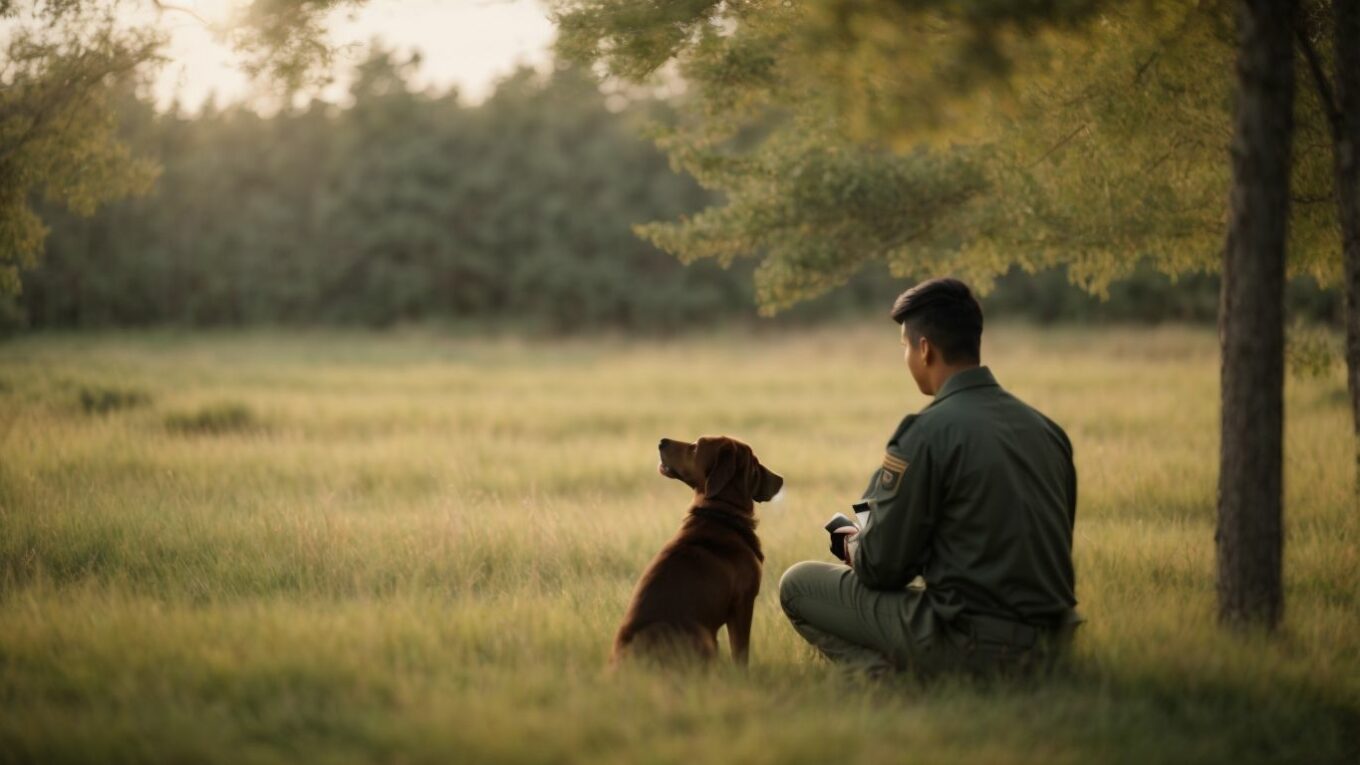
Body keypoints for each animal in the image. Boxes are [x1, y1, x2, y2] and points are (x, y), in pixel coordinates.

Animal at [609, 435, 783, 666]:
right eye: (755, 463)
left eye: (694, 446)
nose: (661, 441)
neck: (721, 511)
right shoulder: (743, 603)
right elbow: (741, 654)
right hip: (704, 635)